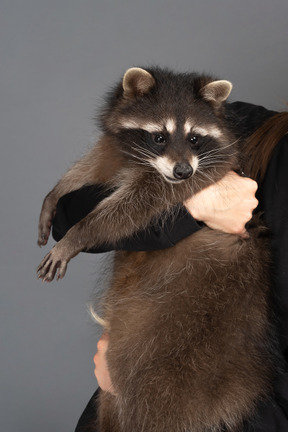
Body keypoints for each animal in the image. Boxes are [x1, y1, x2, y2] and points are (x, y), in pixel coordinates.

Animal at [36, 67, 282, 432]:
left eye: (194, 138)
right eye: (159, 137)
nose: (183, 170)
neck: (148, 162)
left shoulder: (203, 174)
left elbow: (132, 208)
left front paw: (79, 233)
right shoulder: (117, 148)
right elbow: (93, 166)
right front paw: (56, 193)